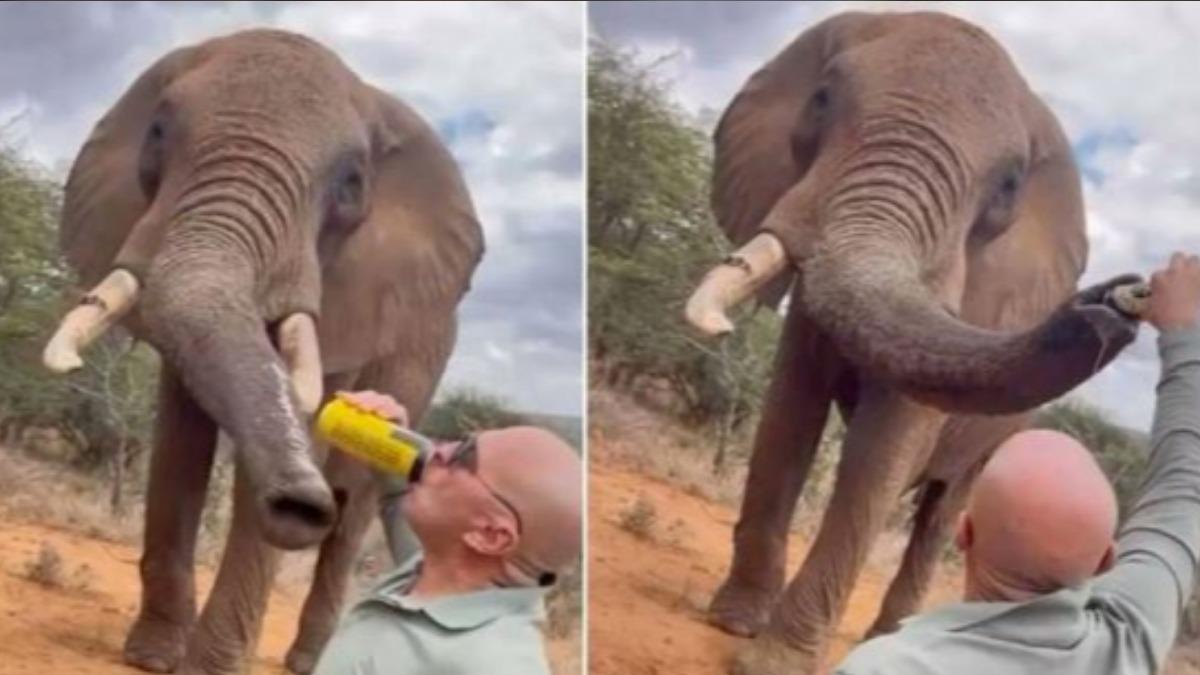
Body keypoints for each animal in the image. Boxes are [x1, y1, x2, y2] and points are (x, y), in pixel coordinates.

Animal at [40, 29, 483, 675]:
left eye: (352, 182)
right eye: (157, 133)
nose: (301, 504)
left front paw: (209, 668)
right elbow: (180, 441)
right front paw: (152, 657)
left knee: (354, 512)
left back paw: (309, 659)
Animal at [683, 12, 1142, 675]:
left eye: (1008, 186)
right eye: (821, 100)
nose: (1120, 298)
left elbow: (885, 445)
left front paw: (773, 662)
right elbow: (790, 411)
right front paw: (734, 622)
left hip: (1001, 437)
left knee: (943, 511)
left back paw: (898, 632)